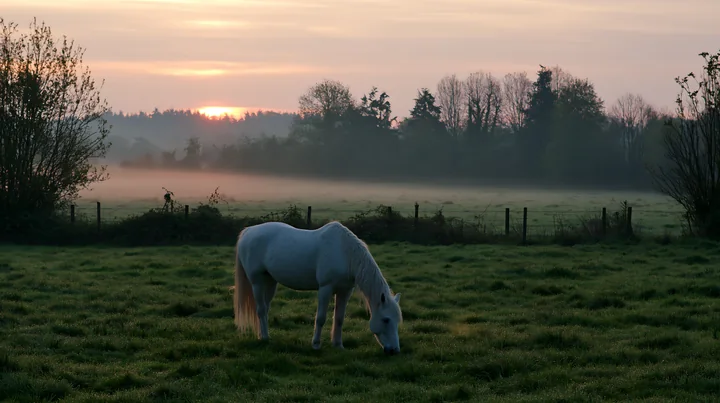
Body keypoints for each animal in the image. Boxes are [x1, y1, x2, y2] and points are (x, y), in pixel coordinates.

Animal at [233, 221, 403, 355]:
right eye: (386, 319)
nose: (394, 350)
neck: (344, 252)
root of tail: (248, 231)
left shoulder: (345, 291)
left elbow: (339, 318)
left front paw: (338, 345)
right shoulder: (325, 289)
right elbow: (320, 318)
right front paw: (315, 344)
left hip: (270, 282)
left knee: (265, 309)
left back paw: (262, 334)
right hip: (257, 282)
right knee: (261, 310)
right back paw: (265, 338)